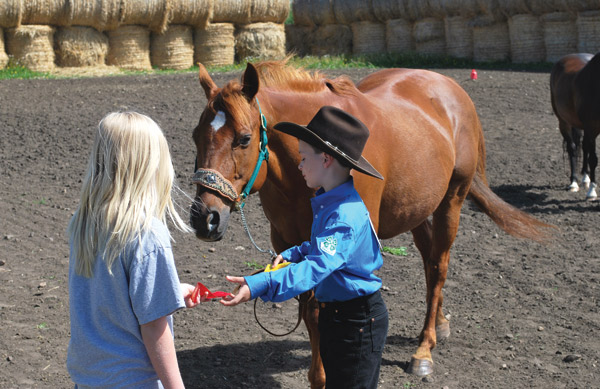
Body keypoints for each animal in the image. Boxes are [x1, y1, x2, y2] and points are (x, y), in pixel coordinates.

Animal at [190, 60, 552, 384]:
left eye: (243, 138)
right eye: (195, 136)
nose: (204, 218)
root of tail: (451, 88)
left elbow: (325, 307)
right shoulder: (289, 240)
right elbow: (311, 310)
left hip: (452, 201)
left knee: (439, 267)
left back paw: (424, 348)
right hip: (417, 208)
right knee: (429, 260)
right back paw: (440, 323)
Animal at [552, 52, 596, 199]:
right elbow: (592, 157)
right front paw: (591, 191)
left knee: (584, 147)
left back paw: (585, 179)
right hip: (564, 122)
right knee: (572, 148)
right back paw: (574, 183)